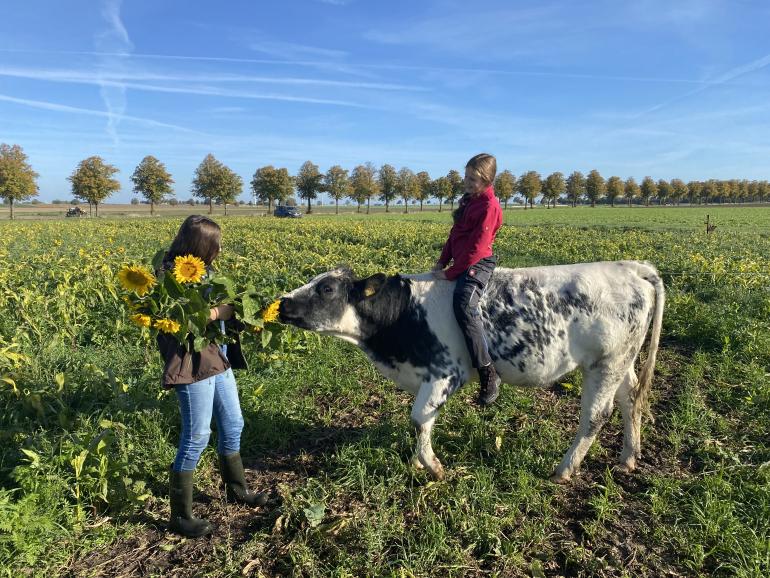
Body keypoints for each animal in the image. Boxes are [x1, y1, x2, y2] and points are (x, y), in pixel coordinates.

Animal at [280, 260, 664, 482]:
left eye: (326, 288)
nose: (282, 302)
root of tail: (630, 267)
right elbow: (422, 423)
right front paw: (418, 462)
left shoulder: (446, 372)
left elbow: (419, 418)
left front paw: (432, 467)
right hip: (622, 362)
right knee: (630, 399)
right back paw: (628, 458)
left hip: (605, 362)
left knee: (596, 415)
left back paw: (564, 470)